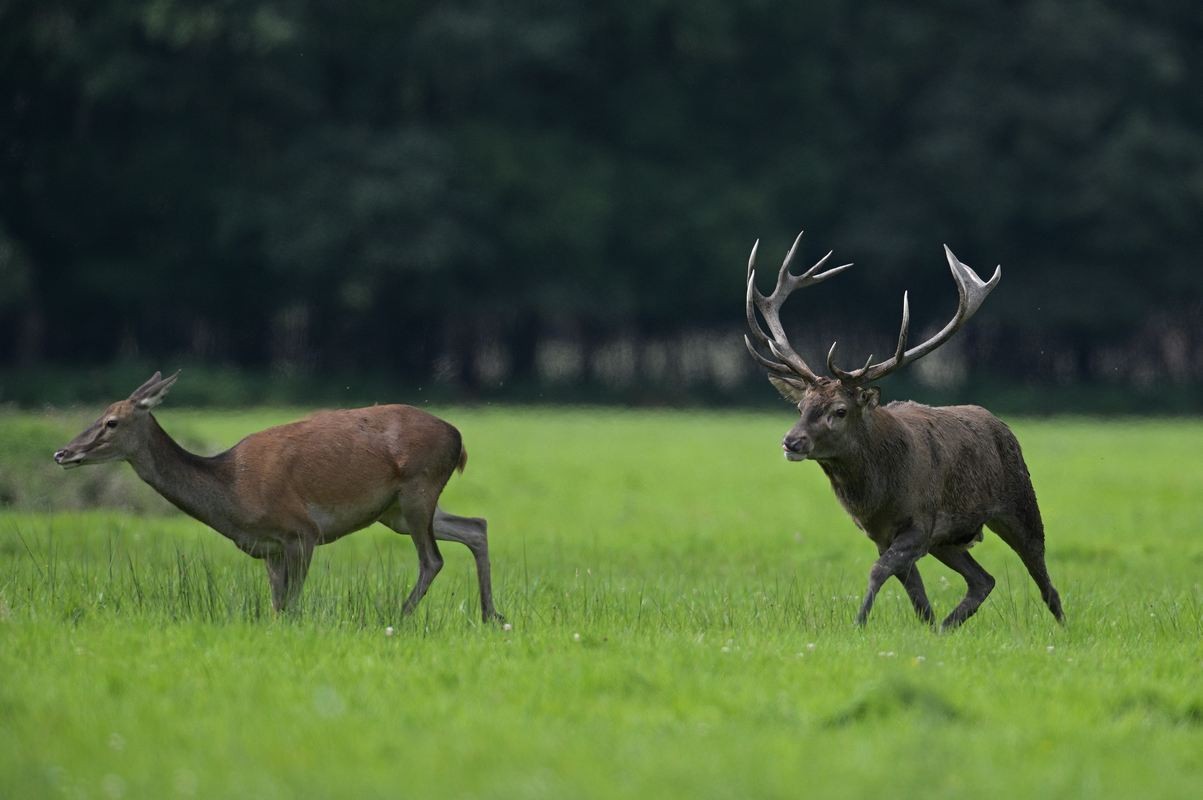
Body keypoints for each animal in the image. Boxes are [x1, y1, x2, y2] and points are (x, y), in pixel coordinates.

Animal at [51, 370, 500, 620]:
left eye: (111, 421)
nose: (62, 453)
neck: (231, 492)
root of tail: (459, 439)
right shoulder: (268, 548)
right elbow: (276, 607)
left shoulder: (301, 531)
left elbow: (291, 607)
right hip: (396, 512)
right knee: (476, 526)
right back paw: (491, 615)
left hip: (417, 487)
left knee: (433, 558)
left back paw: (399, 617)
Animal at [741, 230, 1063, 630]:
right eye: (801, 407)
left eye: (839, 410)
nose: (791, 441)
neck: (879, 494)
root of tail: (1001, 424)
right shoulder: (883, 533)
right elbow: (915, 592)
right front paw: (927, 626)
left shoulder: (920, 522)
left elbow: (879, 571)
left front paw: (859, 623)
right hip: (949, 540)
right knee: (983, 580)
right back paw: (947, 627)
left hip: (1020, 503)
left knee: (1045, 580)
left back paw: (1062, 626)